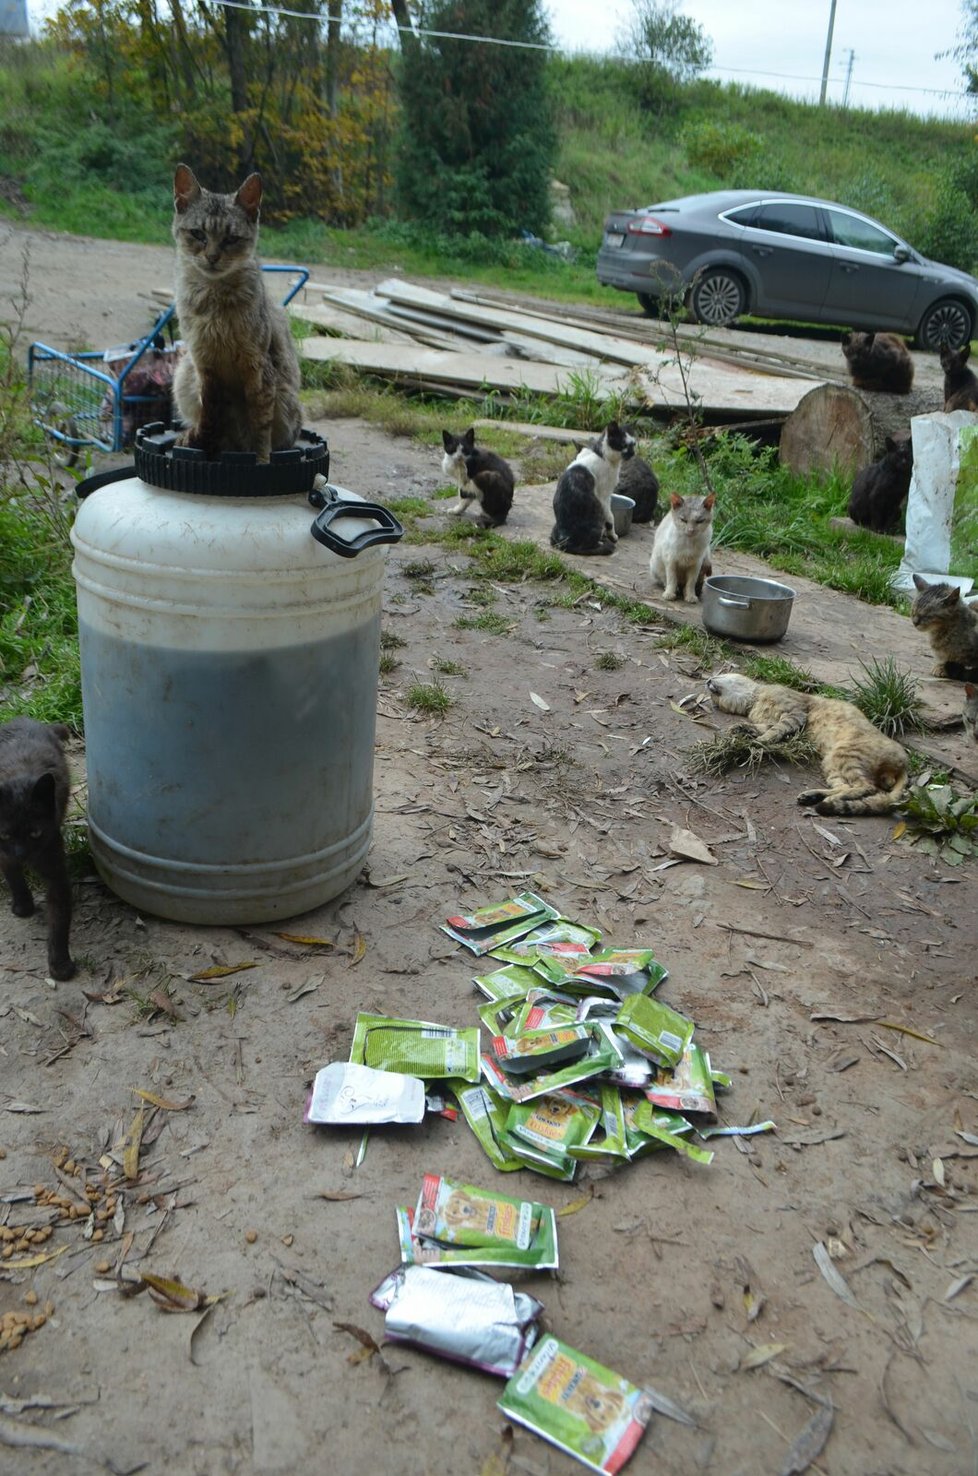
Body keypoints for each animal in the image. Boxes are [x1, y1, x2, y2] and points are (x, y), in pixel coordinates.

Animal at [0, 717, 75, 980]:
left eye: (35, 833)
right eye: (5, 834)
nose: (21, 853)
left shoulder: (56, 872)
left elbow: (59, 921)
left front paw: (60, 963)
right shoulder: (3, 852)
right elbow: (13, 876)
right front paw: (23, 905)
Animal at [171, 162, 302, 463]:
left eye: (231, 239)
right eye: (198, 234)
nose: (212, 257)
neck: (214, 296)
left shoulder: (258, 368)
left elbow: (260, 428)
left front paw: (261, 460)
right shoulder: (204, 365)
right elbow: (209, 415)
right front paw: (201, 441)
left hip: (286, 401)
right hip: (184, 373)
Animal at [545, 422, 640, 557]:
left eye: (634, 444)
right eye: (624, 445)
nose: (632, 453)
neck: (603, 456)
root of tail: (565, 541)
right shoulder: (604, 496)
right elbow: (610, 517)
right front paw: (613, 536)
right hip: (597, 510)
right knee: (585, 546)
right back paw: (601, 543)